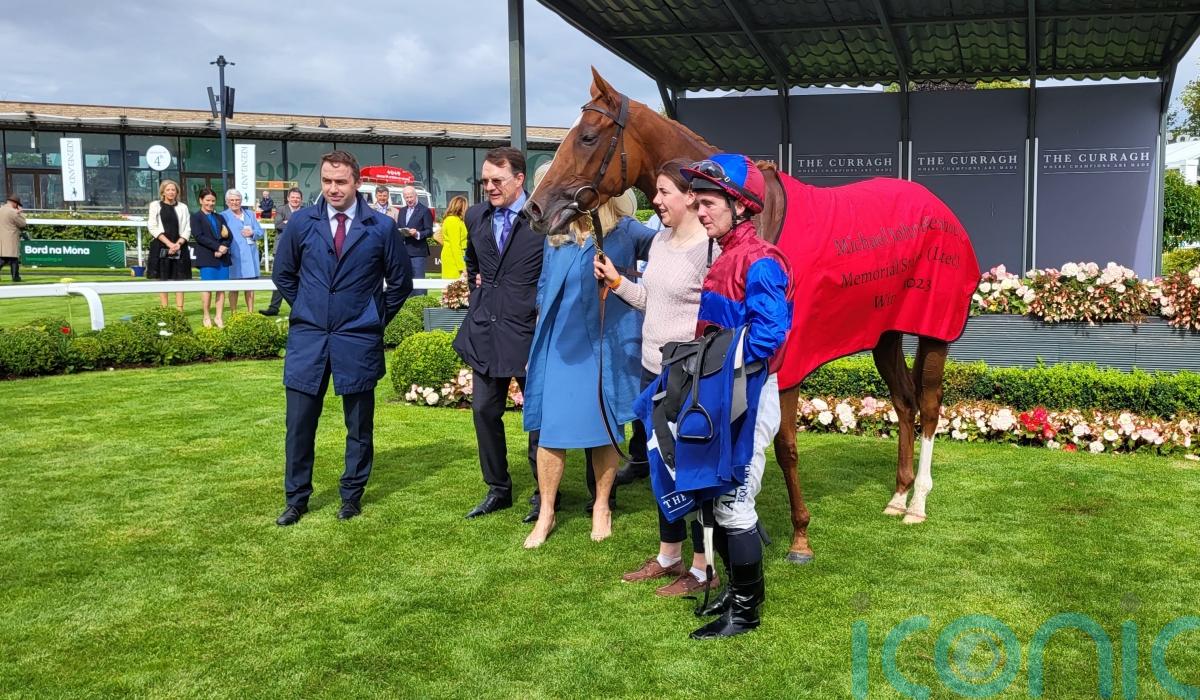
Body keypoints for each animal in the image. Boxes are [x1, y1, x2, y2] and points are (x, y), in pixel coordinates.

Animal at [523, 68, 980, 564]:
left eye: (587, 137)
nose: (535, 209)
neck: (753, 222)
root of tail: (939, 208)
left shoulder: (785, 359)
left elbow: (785, 446)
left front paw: (799, 537)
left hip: (935, 331)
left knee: (930, 408)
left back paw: (917, 503)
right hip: (885, 333)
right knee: (903, 402)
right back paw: (897, 496)